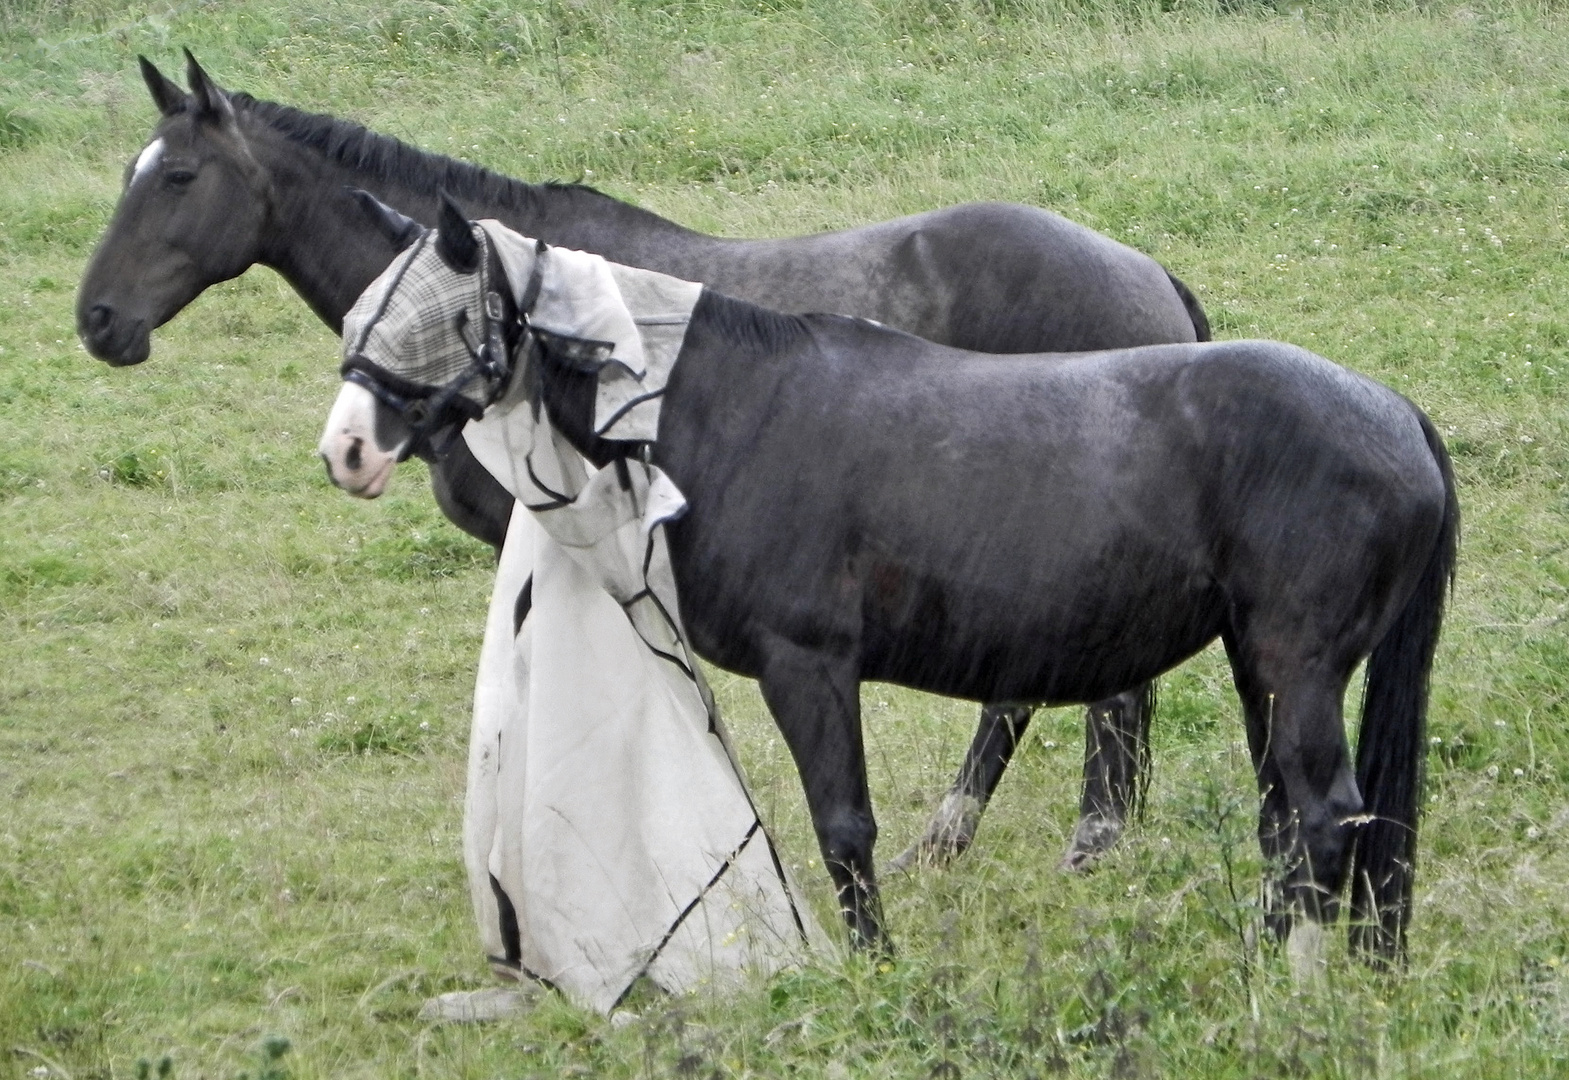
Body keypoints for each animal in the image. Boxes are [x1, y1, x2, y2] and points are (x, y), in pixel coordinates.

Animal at [318, 204, 1456, 960]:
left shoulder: (809, 668)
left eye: (434, 315)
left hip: (1294, 669)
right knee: (1290, 823)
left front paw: (875, 968)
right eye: (362, 311)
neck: (735, 411)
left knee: (1325, 817)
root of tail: (1395, 410)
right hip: (1259, 666)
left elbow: (843, 828)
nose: (347, 450)